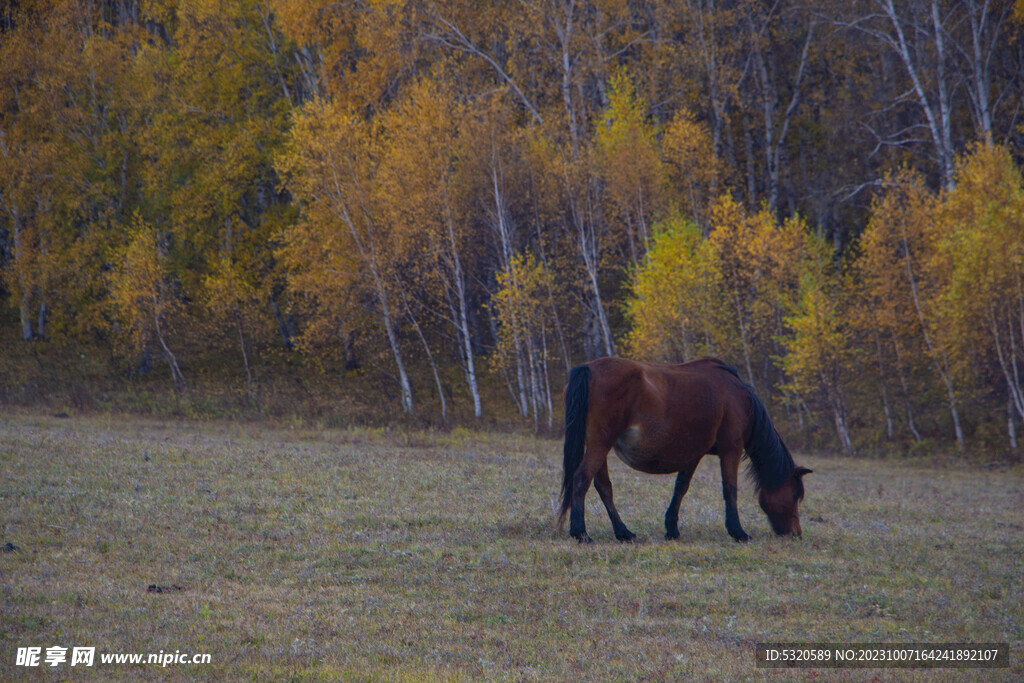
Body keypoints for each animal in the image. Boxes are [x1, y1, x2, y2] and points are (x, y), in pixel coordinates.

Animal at [557, 358, 811, 544]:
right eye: (795, 495)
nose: (796, 533)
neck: (739, 397)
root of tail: (589, 368)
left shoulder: (693, 454)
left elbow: (681, 488)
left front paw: (672, 529)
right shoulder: (731, 448)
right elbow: (730, 489)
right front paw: (738, 532)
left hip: (600, 446)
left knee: (603, 487)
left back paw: (623, 532)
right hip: (600, 445)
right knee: (581, 479)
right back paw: (581, 533)